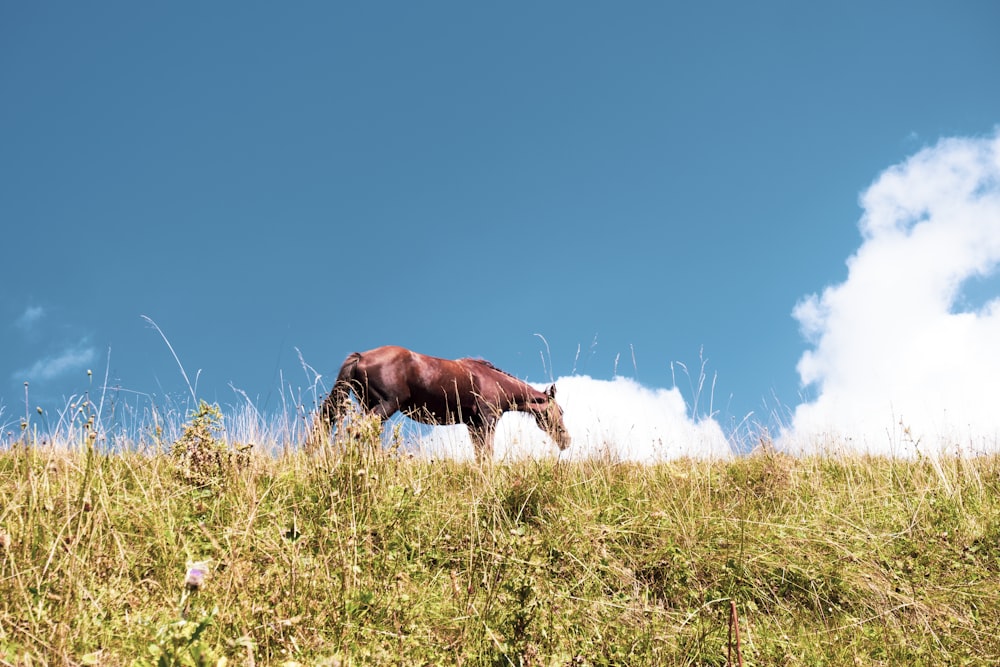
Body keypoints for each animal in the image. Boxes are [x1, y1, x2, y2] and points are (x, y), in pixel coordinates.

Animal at [312, 348, 580, 462]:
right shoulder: (487, 421)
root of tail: (361, 356)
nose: (566, 440)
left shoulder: (473, 425)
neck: (493, 380)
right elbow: (487, 453)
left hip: (370, 407)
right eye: (560, 411)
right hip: (385, 406)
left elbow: (480, 454)